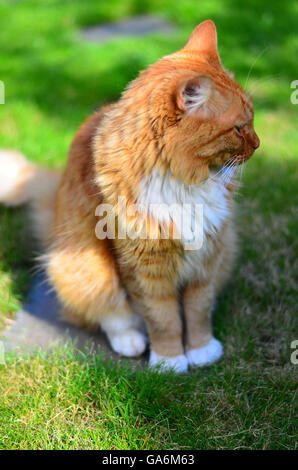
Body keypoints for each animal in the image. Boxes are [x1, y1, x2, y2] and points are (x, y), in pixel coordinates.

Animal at [0, 21, 258, 370]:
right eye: (239, 128)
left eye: (252, 120)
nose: (257, 144)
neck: (183, 179)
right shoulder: (143, 267)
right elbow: (163, 318)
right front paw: (169, 361)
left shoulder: (208, 256)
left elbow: (197, 311)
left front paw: (201, 351)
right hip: (80, 265)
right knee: (110, 314)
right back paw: (131, 341)